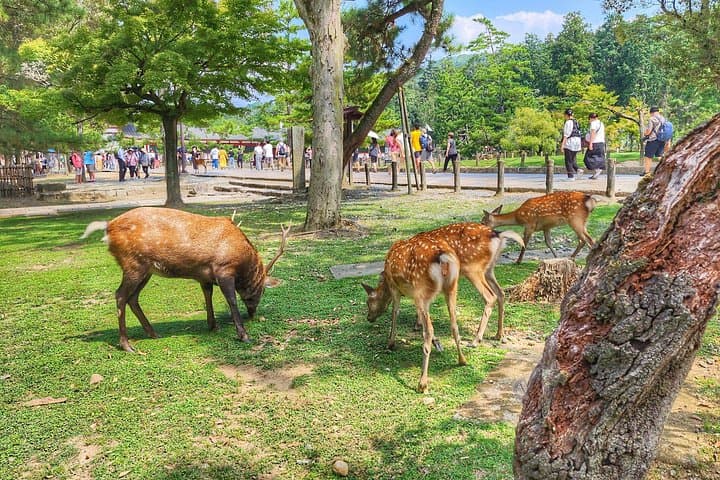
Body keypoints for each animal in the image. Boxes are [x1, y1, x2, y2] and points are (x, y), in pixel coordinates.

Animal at [81, 207, 289, 353]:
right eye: (261, 290)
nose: (253, 314)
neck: (242, 260)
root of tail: (107, 228)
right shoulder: (224, 269)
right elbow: (231, 300)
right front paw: (244, 335)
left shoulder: (205, 276)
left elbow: (207, 296)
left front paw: (213, 325)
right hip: (133, 264)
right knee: (120, 295)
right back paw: (126, 345)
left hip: (146, 270)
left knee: (133, 298)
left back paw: (153, 333)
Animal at [362, 223, 524, 393]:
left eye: (369, 301)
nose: (369, 317)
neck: (386, 279)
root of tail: (498, 235)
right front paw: (430, 337)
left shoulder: (398, 290)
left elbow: (395, 312)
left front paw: (390, 343)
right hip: (479, 274)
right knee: (498, 295)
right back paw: (493, 339)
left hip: (469, 270)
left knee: (489, 297)